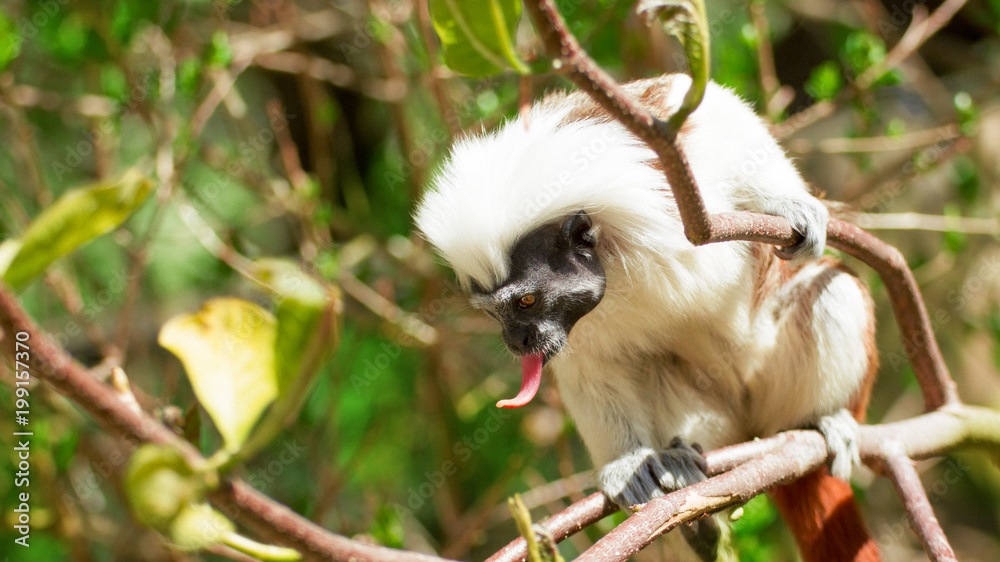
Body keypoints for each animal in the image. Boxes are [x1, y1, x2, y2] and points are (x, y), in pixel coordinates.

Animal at [414, 74, 879, 561]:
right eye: (493, 313)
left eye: (525, 302)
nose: (516, 342)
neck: (614, 260)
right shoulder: (575, 326)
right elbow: (592, 372)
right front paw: (629, 463)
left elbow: (719, 116)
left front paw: (788, 202)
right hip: (717, 421)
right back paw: (688, 497)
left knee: (834, 290)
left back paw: (820, 419)